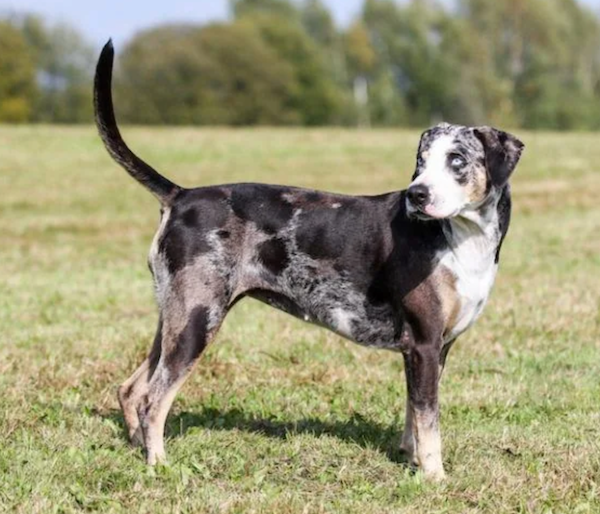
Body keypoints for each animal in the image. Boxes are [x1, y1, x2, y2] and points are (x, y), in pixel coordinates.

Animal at [92, 41, 520, 480]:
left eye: (457, 160)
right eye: (421, 162)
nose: (417, 194)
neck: (458, 238)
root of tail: (181, 195)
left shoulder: (432, 349)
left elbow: (413, 414)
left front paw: (411, 457)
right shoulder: (424, 344)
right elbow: (428, 419)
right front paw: (434, 476)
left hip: (175, 319)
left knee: (131, 389)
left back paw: (138, 448)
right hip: (197, 322)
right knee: (153, 399)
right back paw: (159, 463)